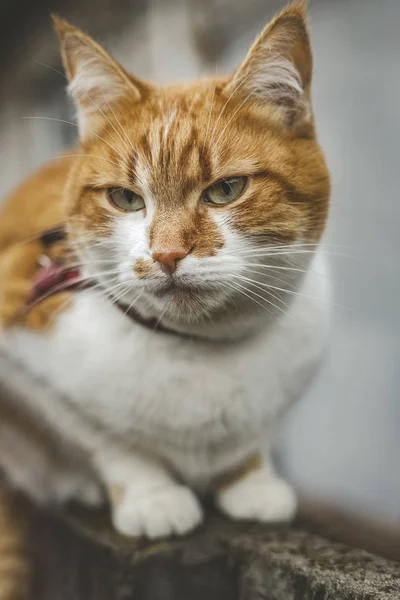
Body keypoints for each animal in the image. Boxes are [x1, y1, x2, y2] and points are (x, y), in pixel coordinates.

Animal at [0, 0, 330, 540]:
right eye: (125, 198)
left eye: (226, 190)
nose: (168, 254)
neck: (201, 350)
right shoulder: (30, 368)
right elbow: (109, 442)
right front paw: (152, 497)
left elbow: (253, 440)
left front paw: (251, 481)